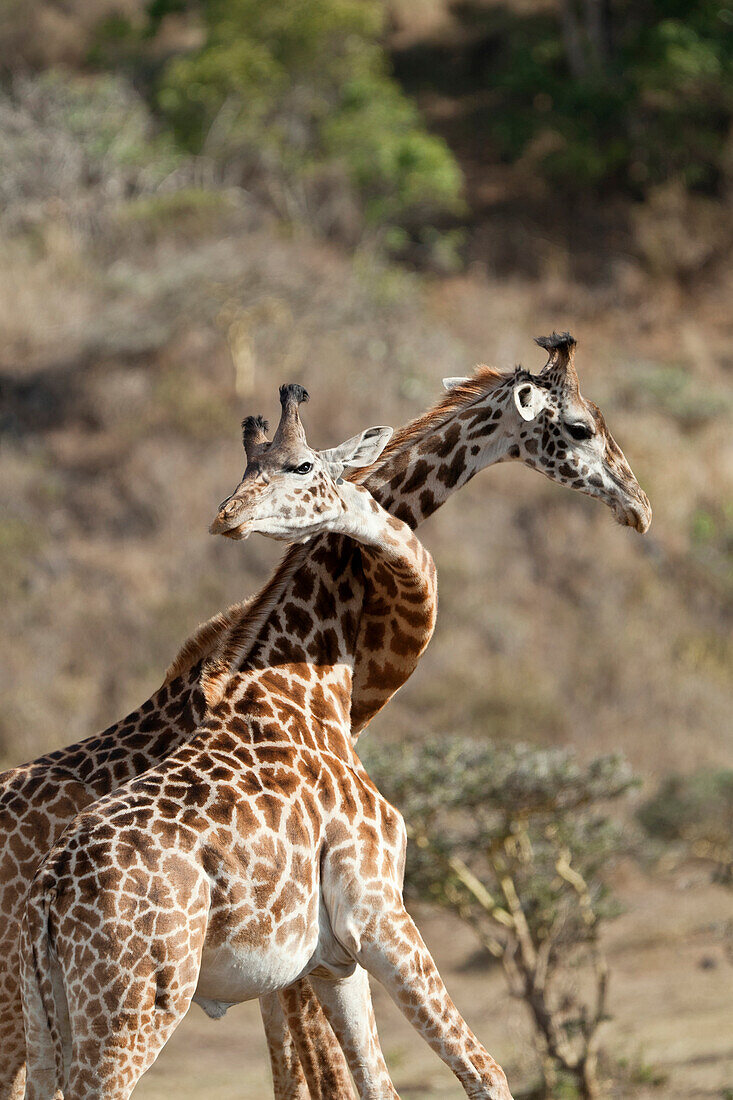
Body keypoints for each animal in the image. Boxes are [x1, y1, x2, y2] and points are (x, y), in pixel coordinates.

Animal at [2, 334, 647, 1100]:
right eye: (579, 427)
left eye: (294, 465)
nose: (638, 504)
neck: (314, 690)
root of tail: (48, 903)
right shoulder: (377, 911)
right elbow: (478, 1073)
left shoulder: (323, 958)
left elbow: (361, 1083)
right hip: (128, 1005)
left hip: (46, 1014)